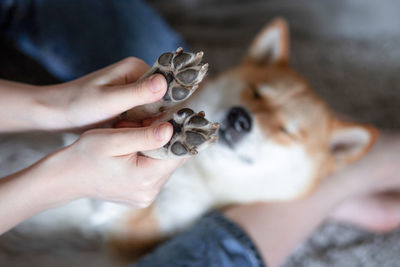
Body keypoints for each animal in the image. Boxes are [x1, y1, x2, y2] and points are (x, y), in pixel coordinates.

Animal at [0, 17, 376, 266]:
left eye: (287, 130)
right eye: (256, 92)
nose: (241, 117)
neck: (198, 172)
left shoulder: (128, 235)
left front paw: (171, 139)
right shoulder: (91, 124)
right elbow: (122, 114)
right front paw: (163, 85)